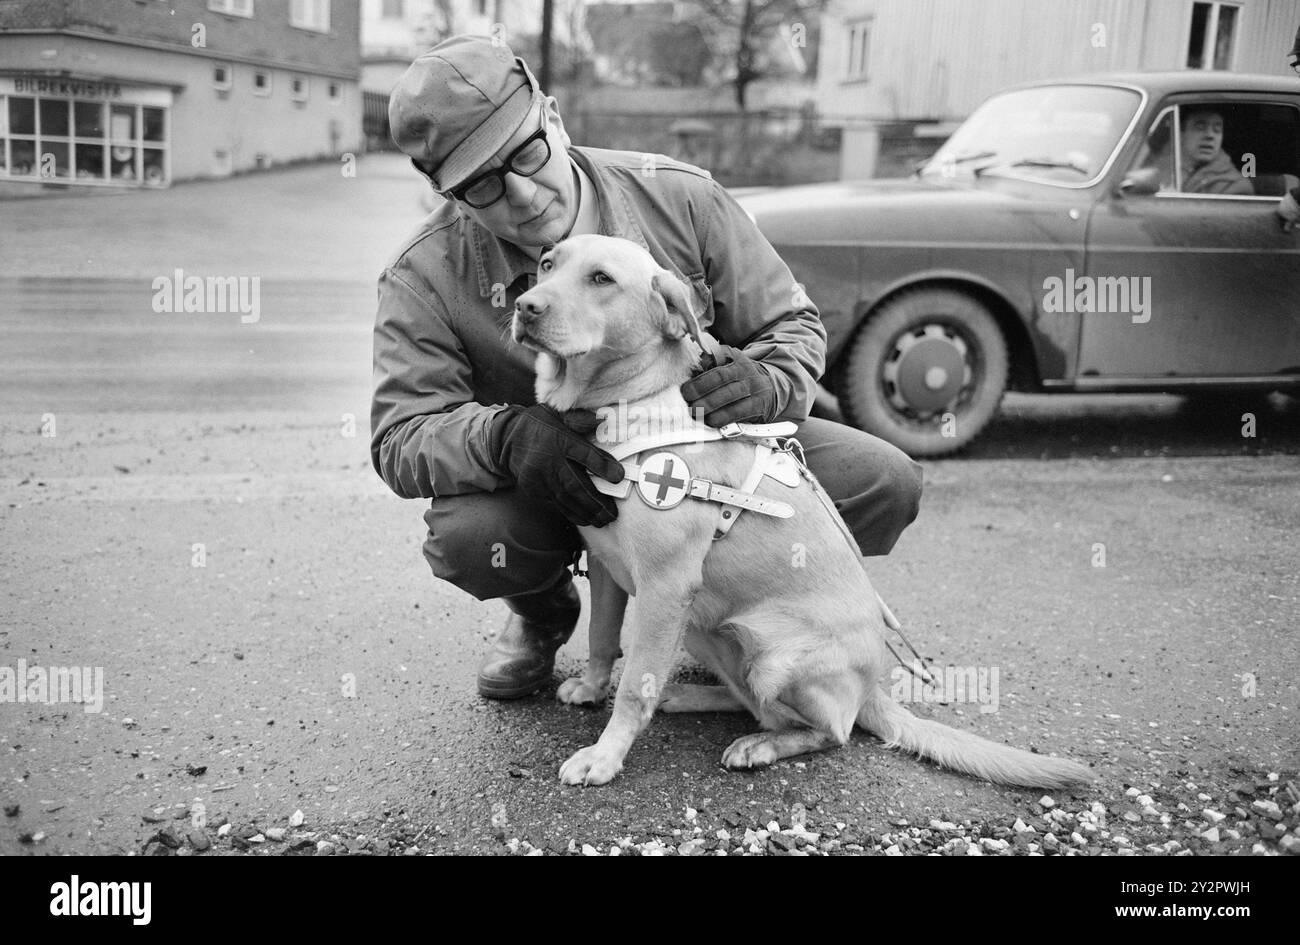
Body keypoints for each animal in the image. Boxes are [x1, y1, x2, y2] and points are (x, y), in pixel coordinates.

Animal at [512, 232, 1092, 785]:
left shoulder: (664, 587)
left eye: (601, 278)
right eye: (547, 264)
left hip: (771, 655)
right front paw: (591, 688)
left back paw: (761, 746)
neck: (627, 404)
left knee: (827, 731)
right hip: (704, 627)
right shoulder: (608, 566)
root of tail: (873, 686)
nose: (523, 306)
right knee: (752, 702)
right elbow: (601, 636)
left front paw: (605, 756)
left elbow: (636, 685)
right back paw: (696, 700)